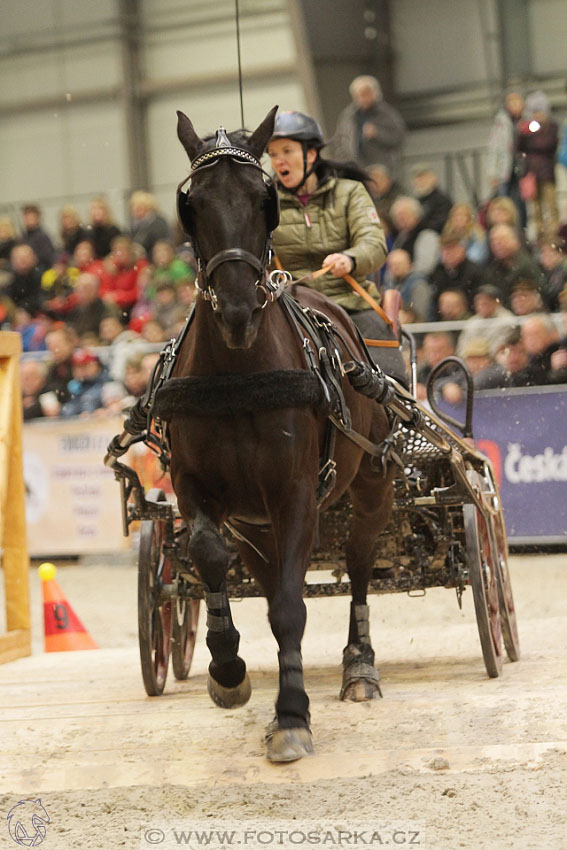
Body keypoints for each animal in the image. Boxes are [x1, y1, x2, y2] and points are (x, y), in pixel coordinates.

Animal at [163, 107, 394, 760]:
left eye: (261, 198)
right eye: (192, 204)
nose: (239, 310)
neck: (240, 370)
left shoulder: (294, 494)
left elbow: (292, 607)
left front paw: (292, 715)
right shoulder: (197, 489)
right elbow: (208, 554)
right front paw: (227, 670)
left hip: (371, 487)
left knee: (360, 564)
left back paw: (359, 665)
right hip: (254, 523)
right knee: (263, 578)